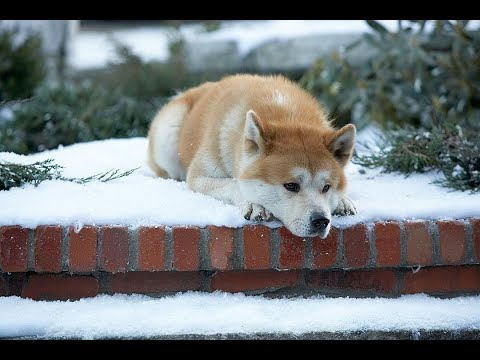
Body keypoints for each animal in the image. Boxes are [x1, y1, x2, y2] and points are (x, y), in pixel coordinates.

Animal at [147, 74, 356, 238]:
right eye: (291, 186)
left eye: (326, 187)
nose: (321, 221)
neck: (287, 115)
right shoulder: (198, 177)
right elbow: (233, 183)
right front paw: (254, 205)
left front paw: (342, 201)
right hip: (168, 134)